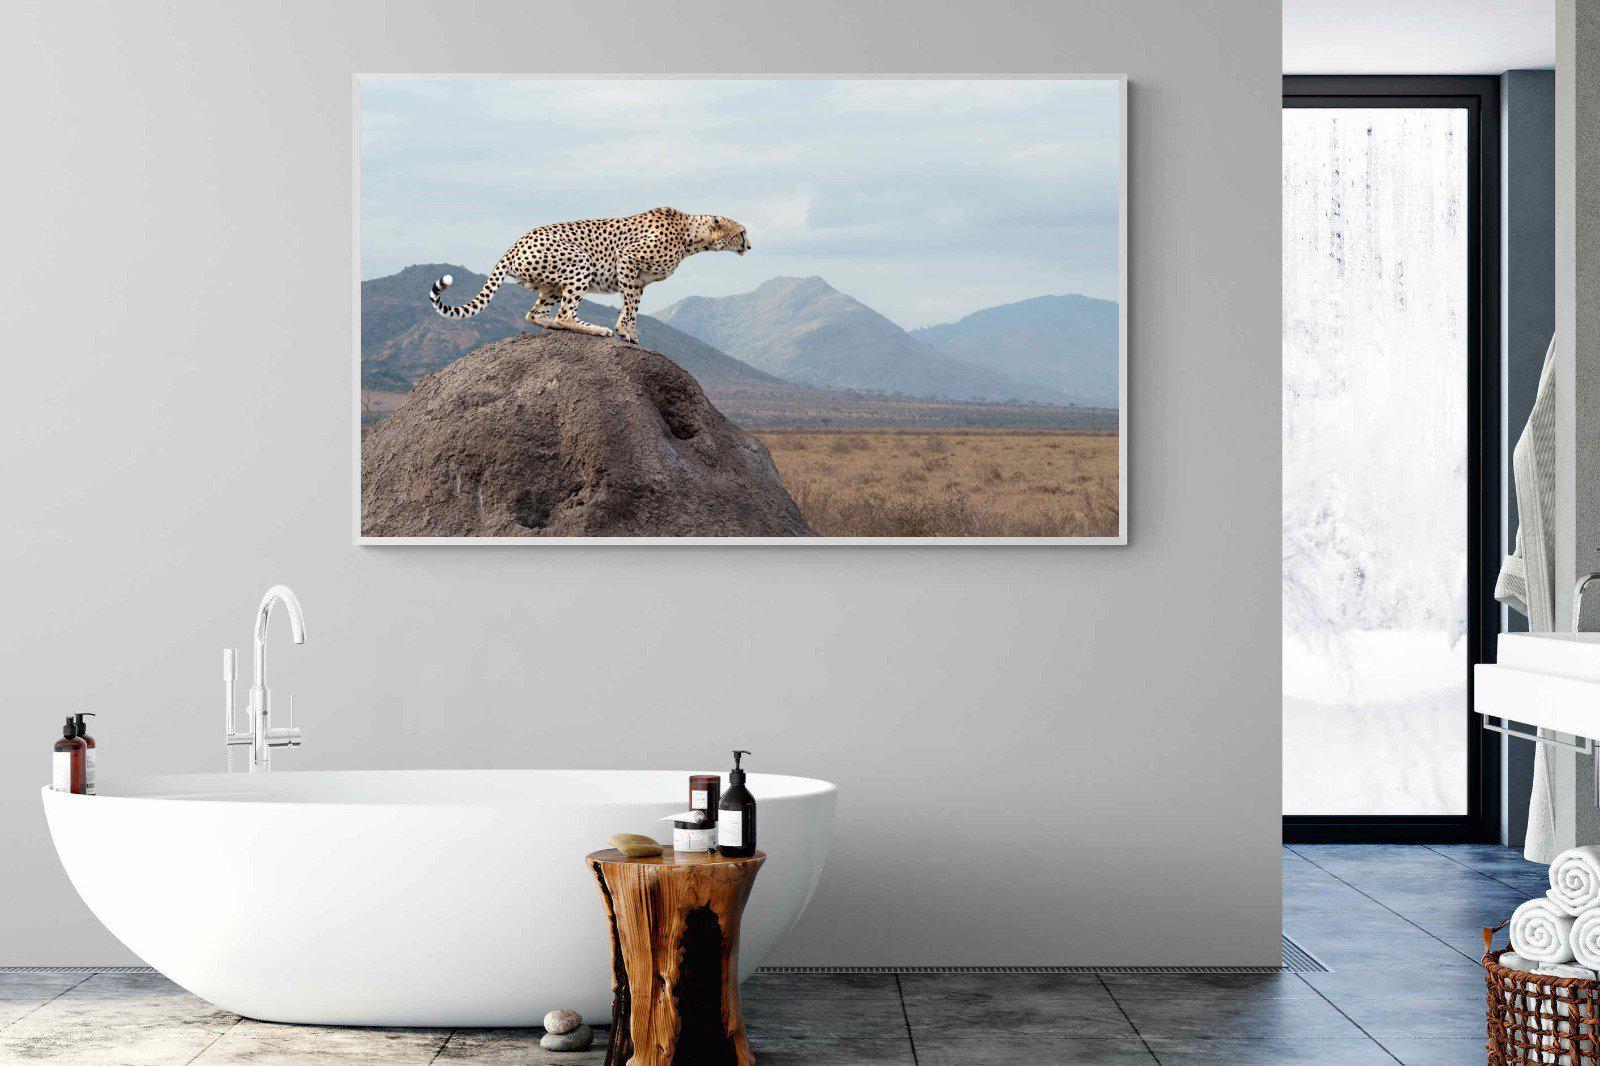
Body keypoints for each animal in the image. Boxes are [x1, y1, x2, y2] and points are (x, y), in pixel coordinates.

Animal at [427, 207, 750, 344]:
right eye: (742, 232)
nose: (749, 245)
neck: (690, 236)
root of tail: (517, 242)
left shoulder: (639, 280)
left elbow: (632, 306)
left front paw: (629, 331)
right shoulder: (627, 260)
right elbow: (630, 306)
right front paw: (624, 332)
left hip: (551, 285)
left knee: (535, 314)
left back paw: (557, 327)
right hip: (580, 262)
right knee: (564, 315)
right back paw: (595, 329)